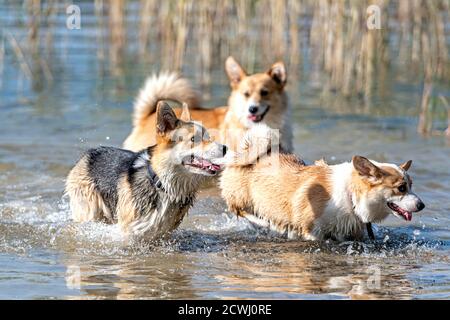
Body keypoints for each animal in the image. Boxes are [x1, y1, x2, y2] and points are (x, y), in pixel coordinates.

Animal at [65, 102, 227, 240]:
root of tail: (88, 154)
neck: (163, 183)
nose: (225, 148)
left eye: (208, 136)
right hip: (89, 211)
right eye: (194, 139)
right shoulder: (128, 231)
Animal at [221, 125, 426, 240]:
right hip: (242, 198)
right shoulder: (312, 232)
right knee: (241, 211)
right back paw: (267, 224)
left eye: (411, 185)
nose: (422, 205)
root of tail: (247, 152)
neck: (350, 197)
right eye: (401, 188)